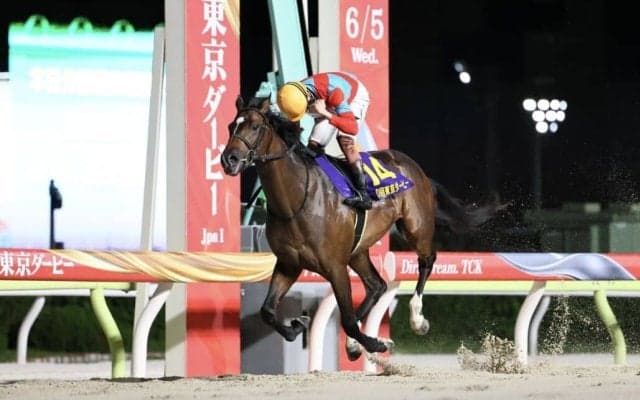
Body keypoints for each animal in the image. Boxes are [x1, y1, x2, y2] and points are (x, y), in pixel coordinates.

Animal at [221, 96, 503, 360]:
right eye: (231, 126)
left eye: (255, 126)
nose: (229, 159)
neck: (296, 199)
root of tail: (415, 169)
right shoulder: (289, 264)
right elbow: (267, 311)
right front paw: (297, 326)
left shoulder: (335, 267)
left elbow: (347, 319)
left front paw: (377, 344)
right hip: (358, 250)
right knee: (377, 285)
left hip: (415, 227)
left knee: (427, 260)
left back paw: (416, 319)